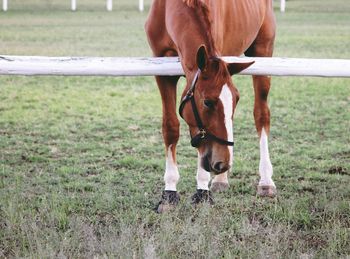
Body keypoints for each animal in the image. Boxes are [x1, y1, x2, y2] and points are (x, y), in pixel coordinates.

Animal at [145, 0, 276, 213]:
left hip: (263, 51)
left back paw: (265, 181)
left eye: (237, 99)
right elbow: (171, 128)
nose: (222, 163)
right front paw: (169, 193)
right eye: (207, 102)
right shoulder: (163, 73)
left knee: (261, 115)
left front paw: (202, 191)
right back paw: (221, 180)